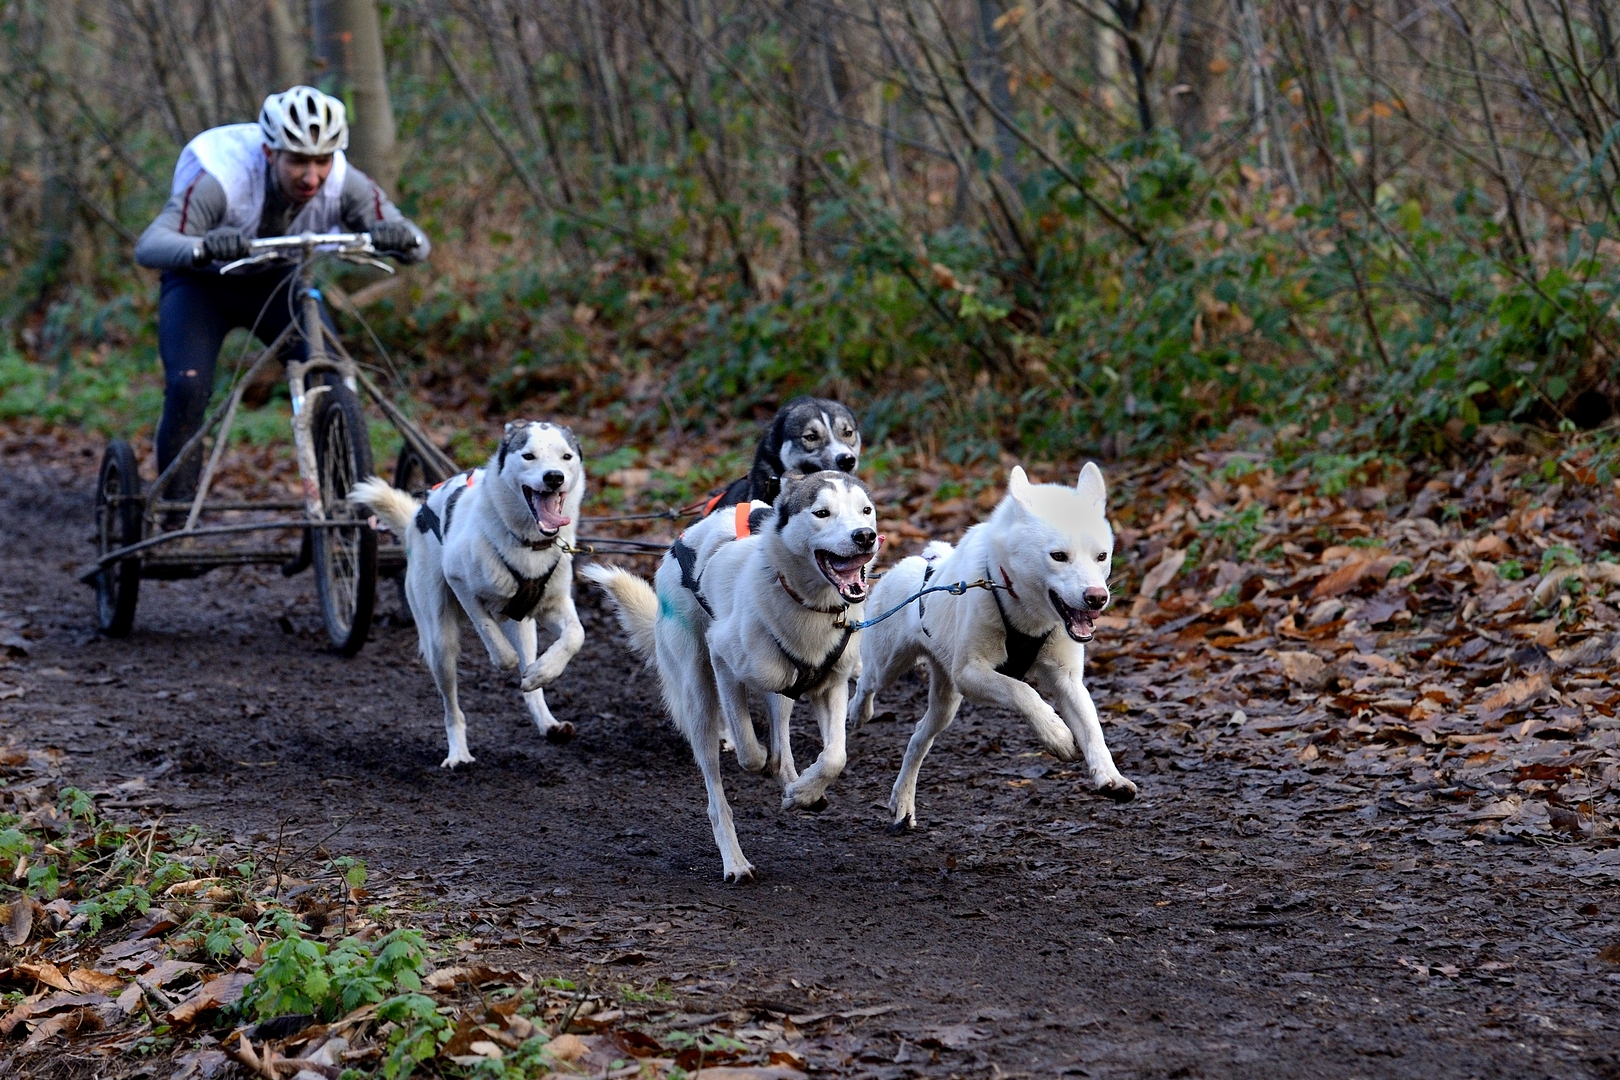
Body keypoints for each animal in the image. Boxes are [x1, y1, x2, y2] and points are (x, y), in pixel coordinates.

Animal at [352, 421, 586, 767]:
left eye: (566, 456)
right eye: (528, 456)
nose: (553, 477)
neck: (526, 543)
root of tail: (417, 515)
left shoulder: (554, 604)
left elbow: (575, 635)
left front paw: (544, 671)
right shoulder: (460, 582)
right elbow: (494, 640)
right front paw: (504, 659)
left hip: (524, 628)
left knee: (529, 676)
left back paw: (546, 718)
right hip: (440, 644)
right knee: (452, 709)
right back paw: (458, 752)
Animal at [586, 471, 879, 881]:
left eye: (865, 510)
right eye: (822, 513)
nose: (865, 536)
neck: (807, 606)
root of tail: (681, 542)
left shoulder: (830, 685)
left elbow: (834, 756)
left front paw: (805, 791)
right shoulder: (723, 661)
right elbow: (749, 752)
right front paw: (763, 765)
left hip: (781, 690)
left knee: (782, 742)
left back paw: (794, 785)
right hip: (699, 698)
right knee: (717, 793)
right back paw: (735, 860)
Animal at [850, 463, 1137, 832]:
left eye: (1101, 556)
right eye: (1059, 556)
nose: (1097, 598)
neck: (1026, 615)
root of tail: (917, 565)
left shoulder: (1067, 680)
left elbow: (1092, 729)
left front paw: (1110, 777)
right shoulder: (971, 673)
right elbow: (1022, 692)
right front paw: (1056, 735)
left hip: (946, 704)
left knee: (917, 739)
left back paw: (902, 803)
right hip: (889, 667)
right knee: (866, 682)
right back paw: (858, 712)